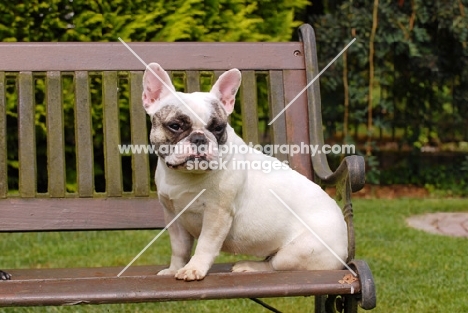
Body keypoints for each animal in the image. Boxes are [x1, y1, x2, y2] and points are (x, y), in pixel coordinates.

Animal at [143, 63, 348, 280]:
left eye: (218, 128)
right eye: (175, 126)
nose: (199, 138)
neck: (185, 176)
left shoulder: (217, 214)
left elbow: (206, 245)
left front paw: (194, 268)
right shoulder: (173, 216)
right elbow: (179, 248)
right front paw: (174, 268)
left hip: (298, 251)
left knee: (275, 264)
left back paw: (250, 266)